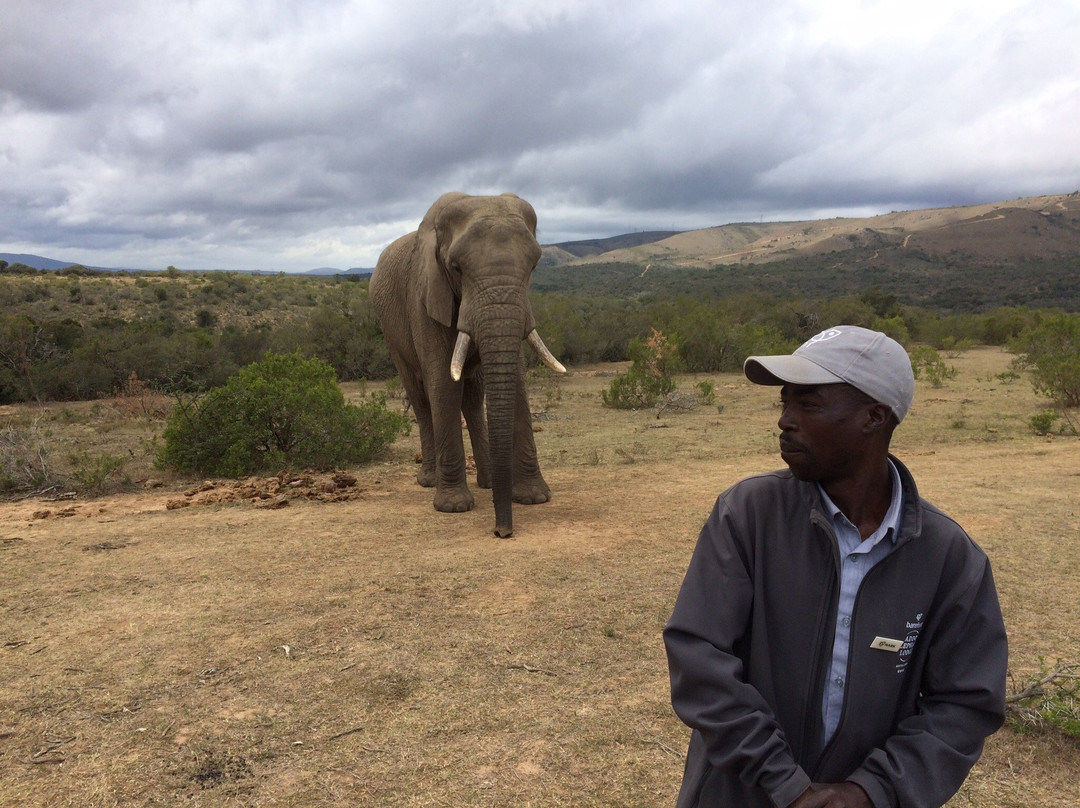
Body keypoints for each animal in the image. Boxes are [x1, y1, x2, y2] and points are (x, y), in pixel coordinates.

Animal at [370, 192, 566, 538]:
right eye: (456, 268)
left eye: (534, 265)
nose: (502, 532)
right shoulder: (424, 295)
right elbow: (443, 384)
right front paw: (453, 506)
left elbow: (516, 383)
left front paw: (534, 497)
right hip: (391, 332)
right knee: (420, 399)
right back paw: (429, 480)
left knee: (473, 399)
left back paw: (487, 482)